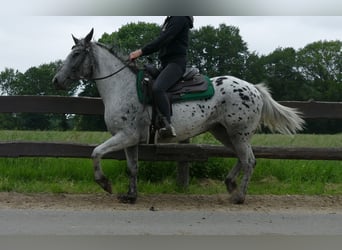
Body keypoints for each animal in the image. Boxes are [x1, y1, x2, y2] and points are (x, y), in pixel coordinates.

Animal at [52, 29, 304, 204]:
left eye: (76, 54)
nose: (56, 80)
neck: (122, 87)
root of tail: (253, 88)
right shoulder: (130, 140)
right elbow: (132, 168)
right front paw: (130, 196)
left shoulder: (125, 136)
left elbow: (95, 153)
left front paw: (105, 184)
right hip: (223, 132)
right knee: (243, 158)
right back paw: (230, 185)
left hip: (239, 133)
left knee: (249, 160)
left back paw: (239, 196)